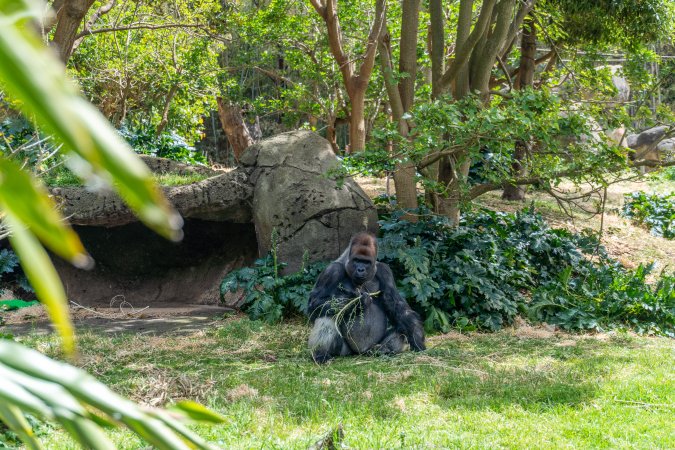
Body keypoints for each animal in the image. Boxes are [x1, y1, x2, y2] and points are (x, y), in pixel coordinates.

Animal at [307, 232, 425, 363]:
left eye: (366, 262)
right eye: (357, 260)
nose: (360, 269)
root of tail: (362, 352)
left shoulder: (385, 271)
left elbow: (397, 305)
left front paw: (417, 338)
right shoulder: (331, 271)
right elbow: (315, 303)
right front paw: (357, 303)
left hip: (372, 346)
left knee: (401, 330)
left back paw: (382, 350)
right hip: (346, 352)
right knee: (327, 315)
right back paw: (321, 355)